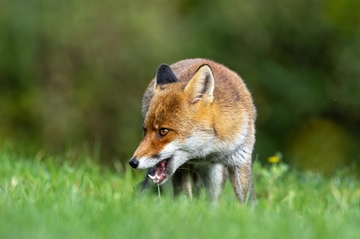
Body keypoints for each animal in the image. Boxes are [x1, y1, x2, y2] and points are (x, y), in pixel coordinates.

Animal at [129, 58, 256, 203]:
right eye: (145, 130)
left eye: (163, 131)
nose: (132, 162)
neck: (207, 153)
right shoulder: (182, 167)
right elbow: (183, 198)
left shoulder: (241, 160)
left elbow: (248, 201)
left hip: (215, 177)